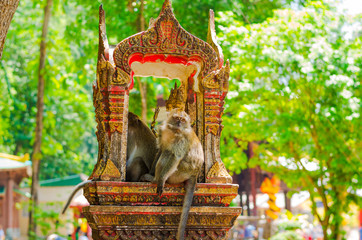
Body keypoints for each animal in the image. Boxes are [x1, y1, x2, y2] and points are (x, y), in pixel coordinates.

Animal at [147, 109, 204, 240]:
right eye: (177, 118)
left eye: (183, 120)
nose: (178, 123)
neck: (173, 131)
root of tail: (195, 174)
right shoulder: (162, 132)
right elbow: (161, 150)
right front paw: (151, 171)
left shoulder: (181, 138)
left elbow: (174, 156)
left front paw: (161, 180)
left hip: (180, 173)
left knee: (168, 154)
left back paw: (155, 179)